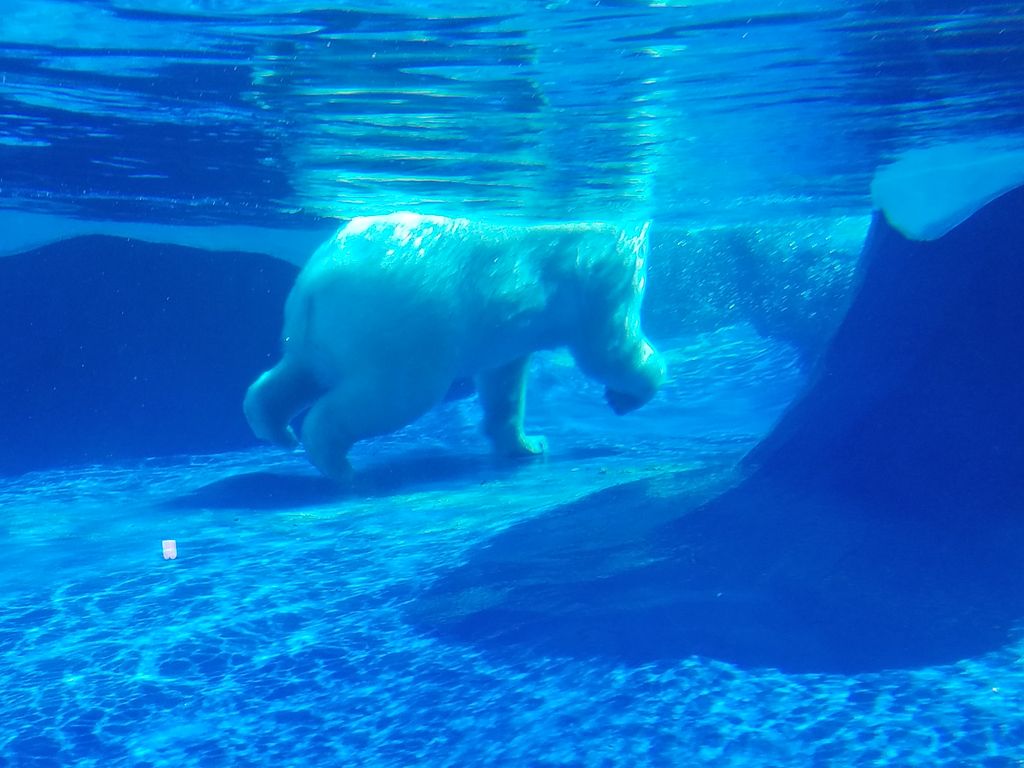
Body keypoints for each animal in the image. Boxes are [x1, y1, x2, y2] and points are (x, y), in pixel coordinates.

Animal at [244, 211, 667, 481]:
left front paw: (530, 444)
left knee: (294, 374)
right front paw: (625, 396)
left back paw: (276, 428)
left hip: (316, 331)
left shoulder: (511, 335)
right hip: (409, 327)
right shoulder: (600, 281)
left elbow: (503, 383)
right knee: (391, 398)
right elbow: (610, 351)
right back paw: (338, 464)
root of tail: (320, 278)